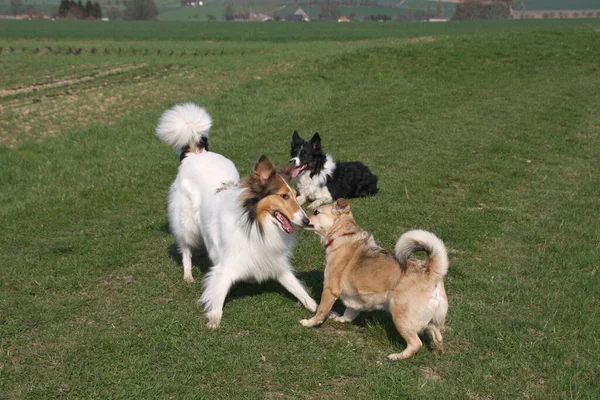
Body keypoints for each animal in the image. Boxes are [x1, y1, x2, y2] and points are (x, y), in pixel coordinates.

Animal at [302, 199, 448, 360]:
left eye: (316, 212)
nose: (304, 218)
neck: (344, 235)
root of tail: (431, 271)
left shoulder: (329, 290)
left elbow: (321, 310)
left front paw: (310, 322)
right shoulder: (354, 297)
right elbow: (349, 312)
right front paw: (342, 319)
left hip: (401, 317)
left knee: (416, 344)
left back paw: (397, 356)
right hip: (431, 321)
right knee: (438, 336)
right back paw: (437, 352)